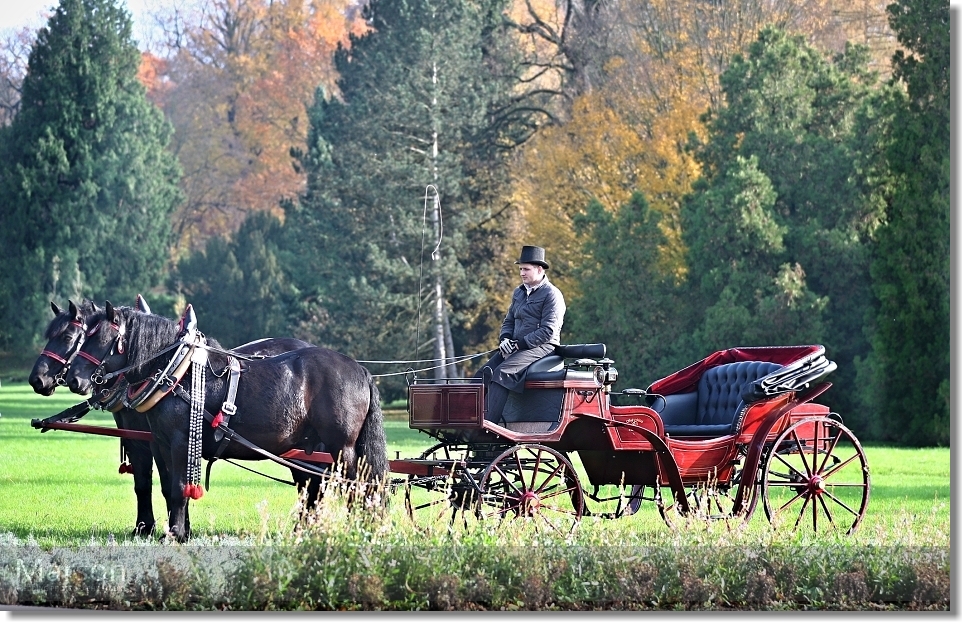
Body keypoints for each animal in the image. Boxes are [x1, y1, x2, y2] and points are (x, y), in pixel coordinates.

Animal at [64, 302, 390, 540]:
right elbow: (169, 487)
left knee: (356, 487)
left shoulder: (181, 441)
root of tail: (360, 369)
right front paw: (177, 530)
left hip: (343, 448)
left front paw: (176, 534)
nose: (74, 379)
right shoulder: (161, 443)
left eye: (101, 339)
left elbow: (180, 487)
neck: (176, 371)